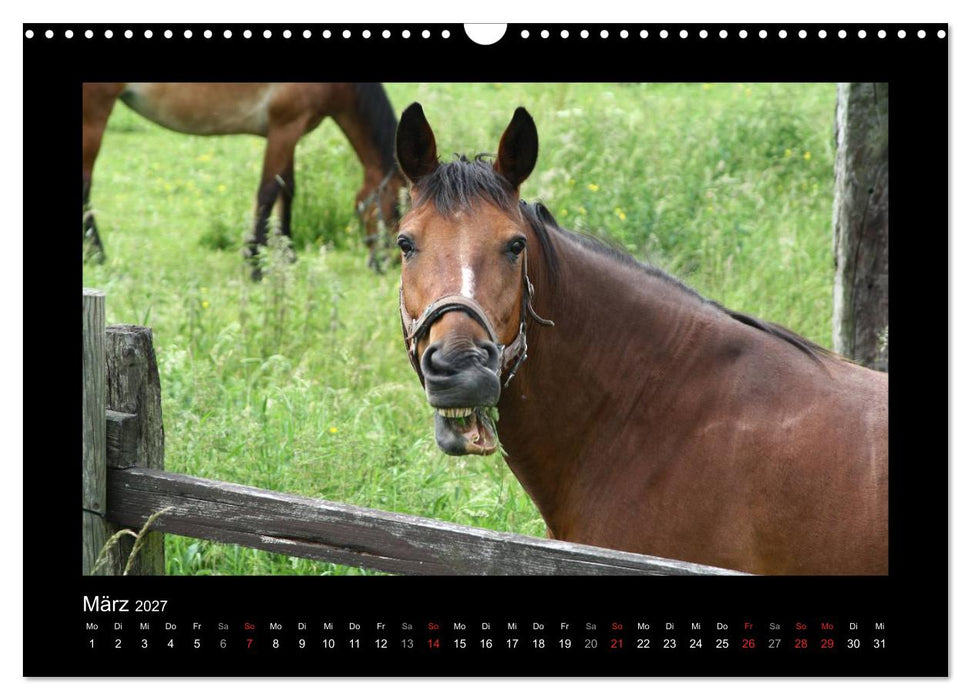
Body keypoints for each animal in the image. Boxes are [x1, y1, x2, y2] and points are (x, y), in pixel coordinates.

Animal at [82, 83, 406, 276]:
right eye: (397, 208)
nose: (384, 263)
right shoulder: (285, 127)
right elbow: (268, 192)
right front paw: (254, 263)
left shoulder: (288, 132)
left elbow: (287, 190)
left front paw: (287, 255)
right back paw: (97, 254)